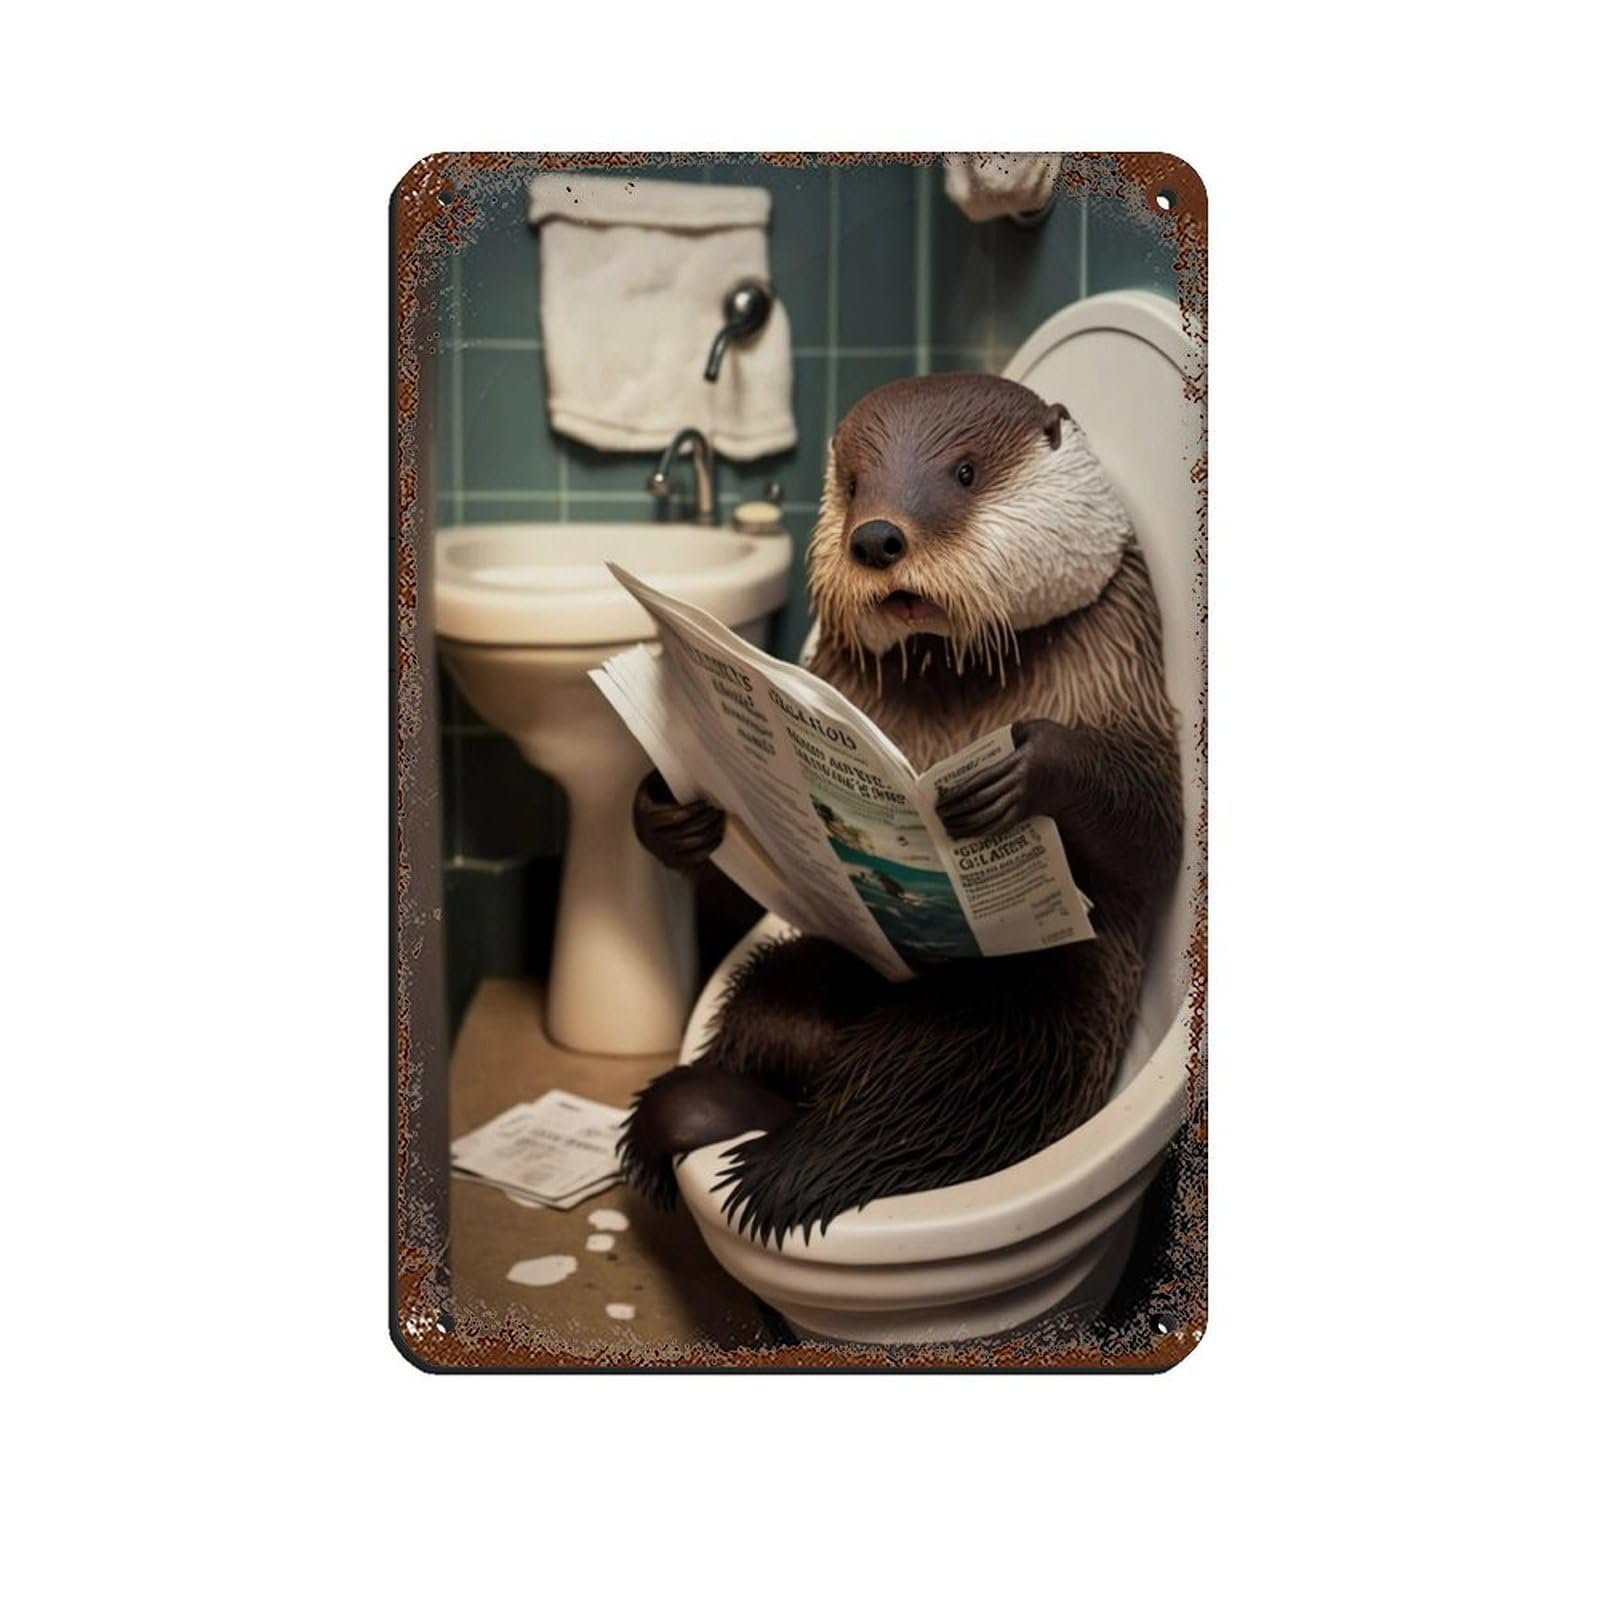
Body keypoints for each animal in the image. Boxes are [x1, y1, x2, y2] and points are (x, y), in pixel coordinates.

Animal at [618, 373, 1183, 1247]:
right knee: (768, 1008)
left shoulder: (1121, 642)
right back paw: (696, 1111)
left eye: (964, 472)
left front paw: (1027, 768)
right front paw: (667, 813)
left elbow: (1159, 828)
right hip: (821, 968)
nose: (878, 538)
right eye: (854, 483)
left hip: (1025, 1015)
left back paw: (778, 1169)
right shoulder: (829, 670)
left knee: (926, 1091)